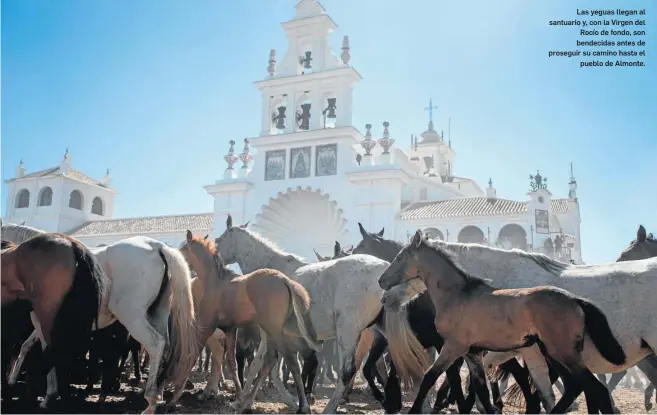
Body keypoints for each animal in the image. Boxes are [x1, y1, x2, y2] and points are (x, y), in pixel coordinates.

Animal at [214, 216, 426, 414]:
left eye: (218, 240)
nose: (218, 264)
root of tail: (383, 272)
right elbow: (270, 365)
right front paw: (250, 401)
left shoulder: (271, 332)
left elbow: (267, 365)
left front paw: (246, 401)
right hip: (383, 331)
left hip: (348, 332)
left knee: (348, 371)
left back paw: (332, 407)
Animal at [364, 224, 656, 412]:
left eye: (397, 257)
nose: (381, 286)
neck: (462, 293)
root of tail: (577, 300)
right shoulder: (478, 352)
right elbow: (485, 388)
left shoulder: (458, 347)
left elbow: (432, 377)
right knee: (585, 387)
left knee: (595, 389)